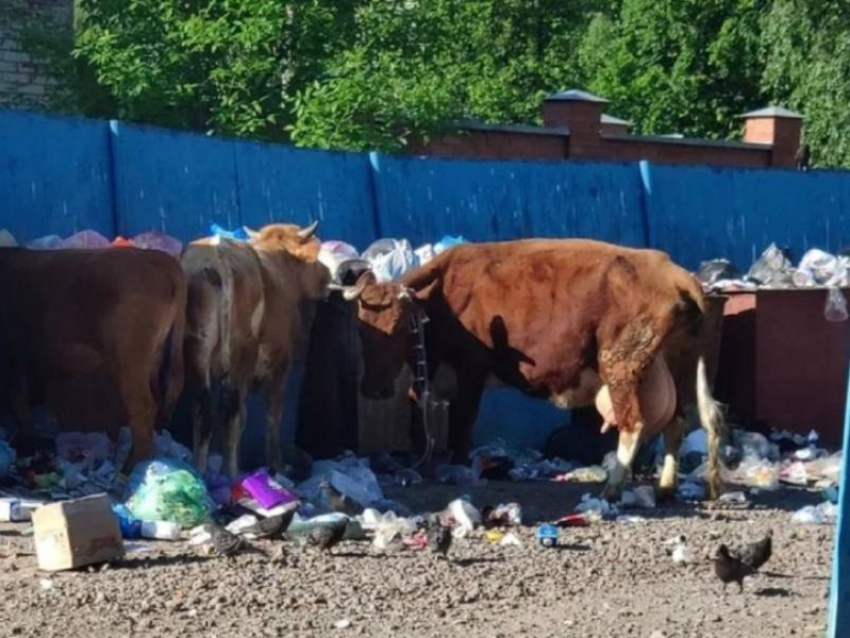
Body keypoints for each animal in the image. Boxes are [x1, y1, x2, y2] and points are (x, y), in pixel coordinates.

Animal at [0, 248, 186, 472]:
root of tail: (153, 255)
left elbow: (18, 397)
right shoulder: (18, 356)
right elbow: (19, 397)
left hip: (130, 364)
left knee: (143, 413)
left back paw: (131, 469)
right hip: (152, 359)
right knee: (155, 404)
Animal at [182, 222, 328, 478]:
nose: (327, 276)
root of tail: (218, 255)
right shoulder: (281, 363)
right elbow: (271, 416)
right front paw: (276, 465)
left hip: (198, 350)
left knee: (204, 410)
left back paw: (198, 469)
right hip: (242, 354)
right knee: (231, 413)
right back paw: (229, 473)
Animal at [338, 239, 724, 500]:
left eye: (401, 327)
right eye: (361, 328)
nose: (373, 389)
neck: (445, 292)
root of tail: (674, 273)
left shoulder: (471, 369)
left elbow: (462, 420)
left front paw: (457, 465)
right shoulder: (432, 372)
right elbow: (418, 412)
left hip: (622, 364)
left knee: (635, 424)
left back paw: (613, 488)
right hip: (675, 366)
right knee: (676, 424)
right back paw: (665, 487)